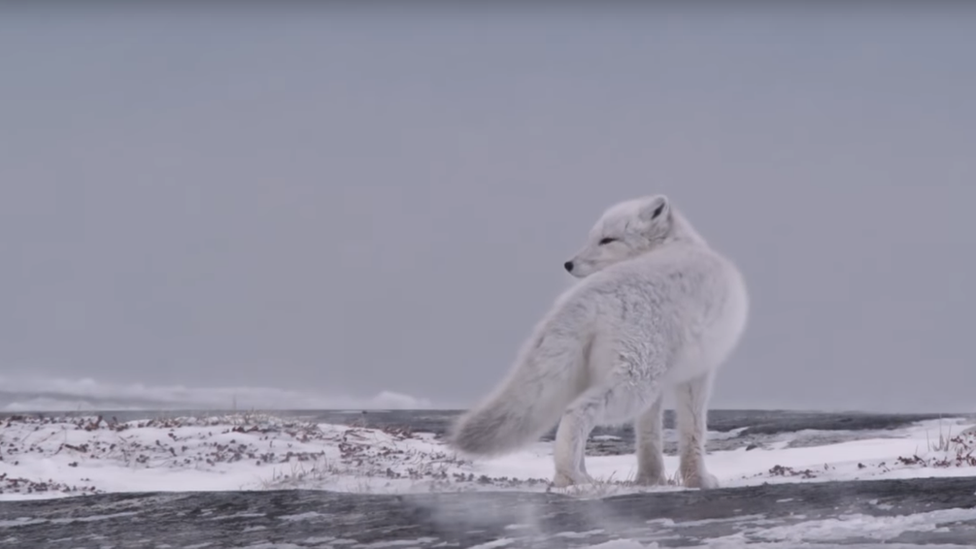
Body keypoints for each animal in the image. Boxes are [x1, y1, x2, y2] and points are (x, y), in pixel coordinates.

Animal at [446, 194, 752, 488]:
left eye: (607, 240)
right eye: (595, 237)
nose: (568, 264)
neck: (675, 245)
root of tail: (587, 297)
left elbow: (648, 434)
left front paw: (651, 479)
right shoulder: (697, 374)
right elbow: (693, 430)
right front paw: (698, 480)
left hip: (615, 377)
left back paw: (582, 475)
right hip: (634, 383)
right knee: (575, 412)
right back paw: (570, 478)